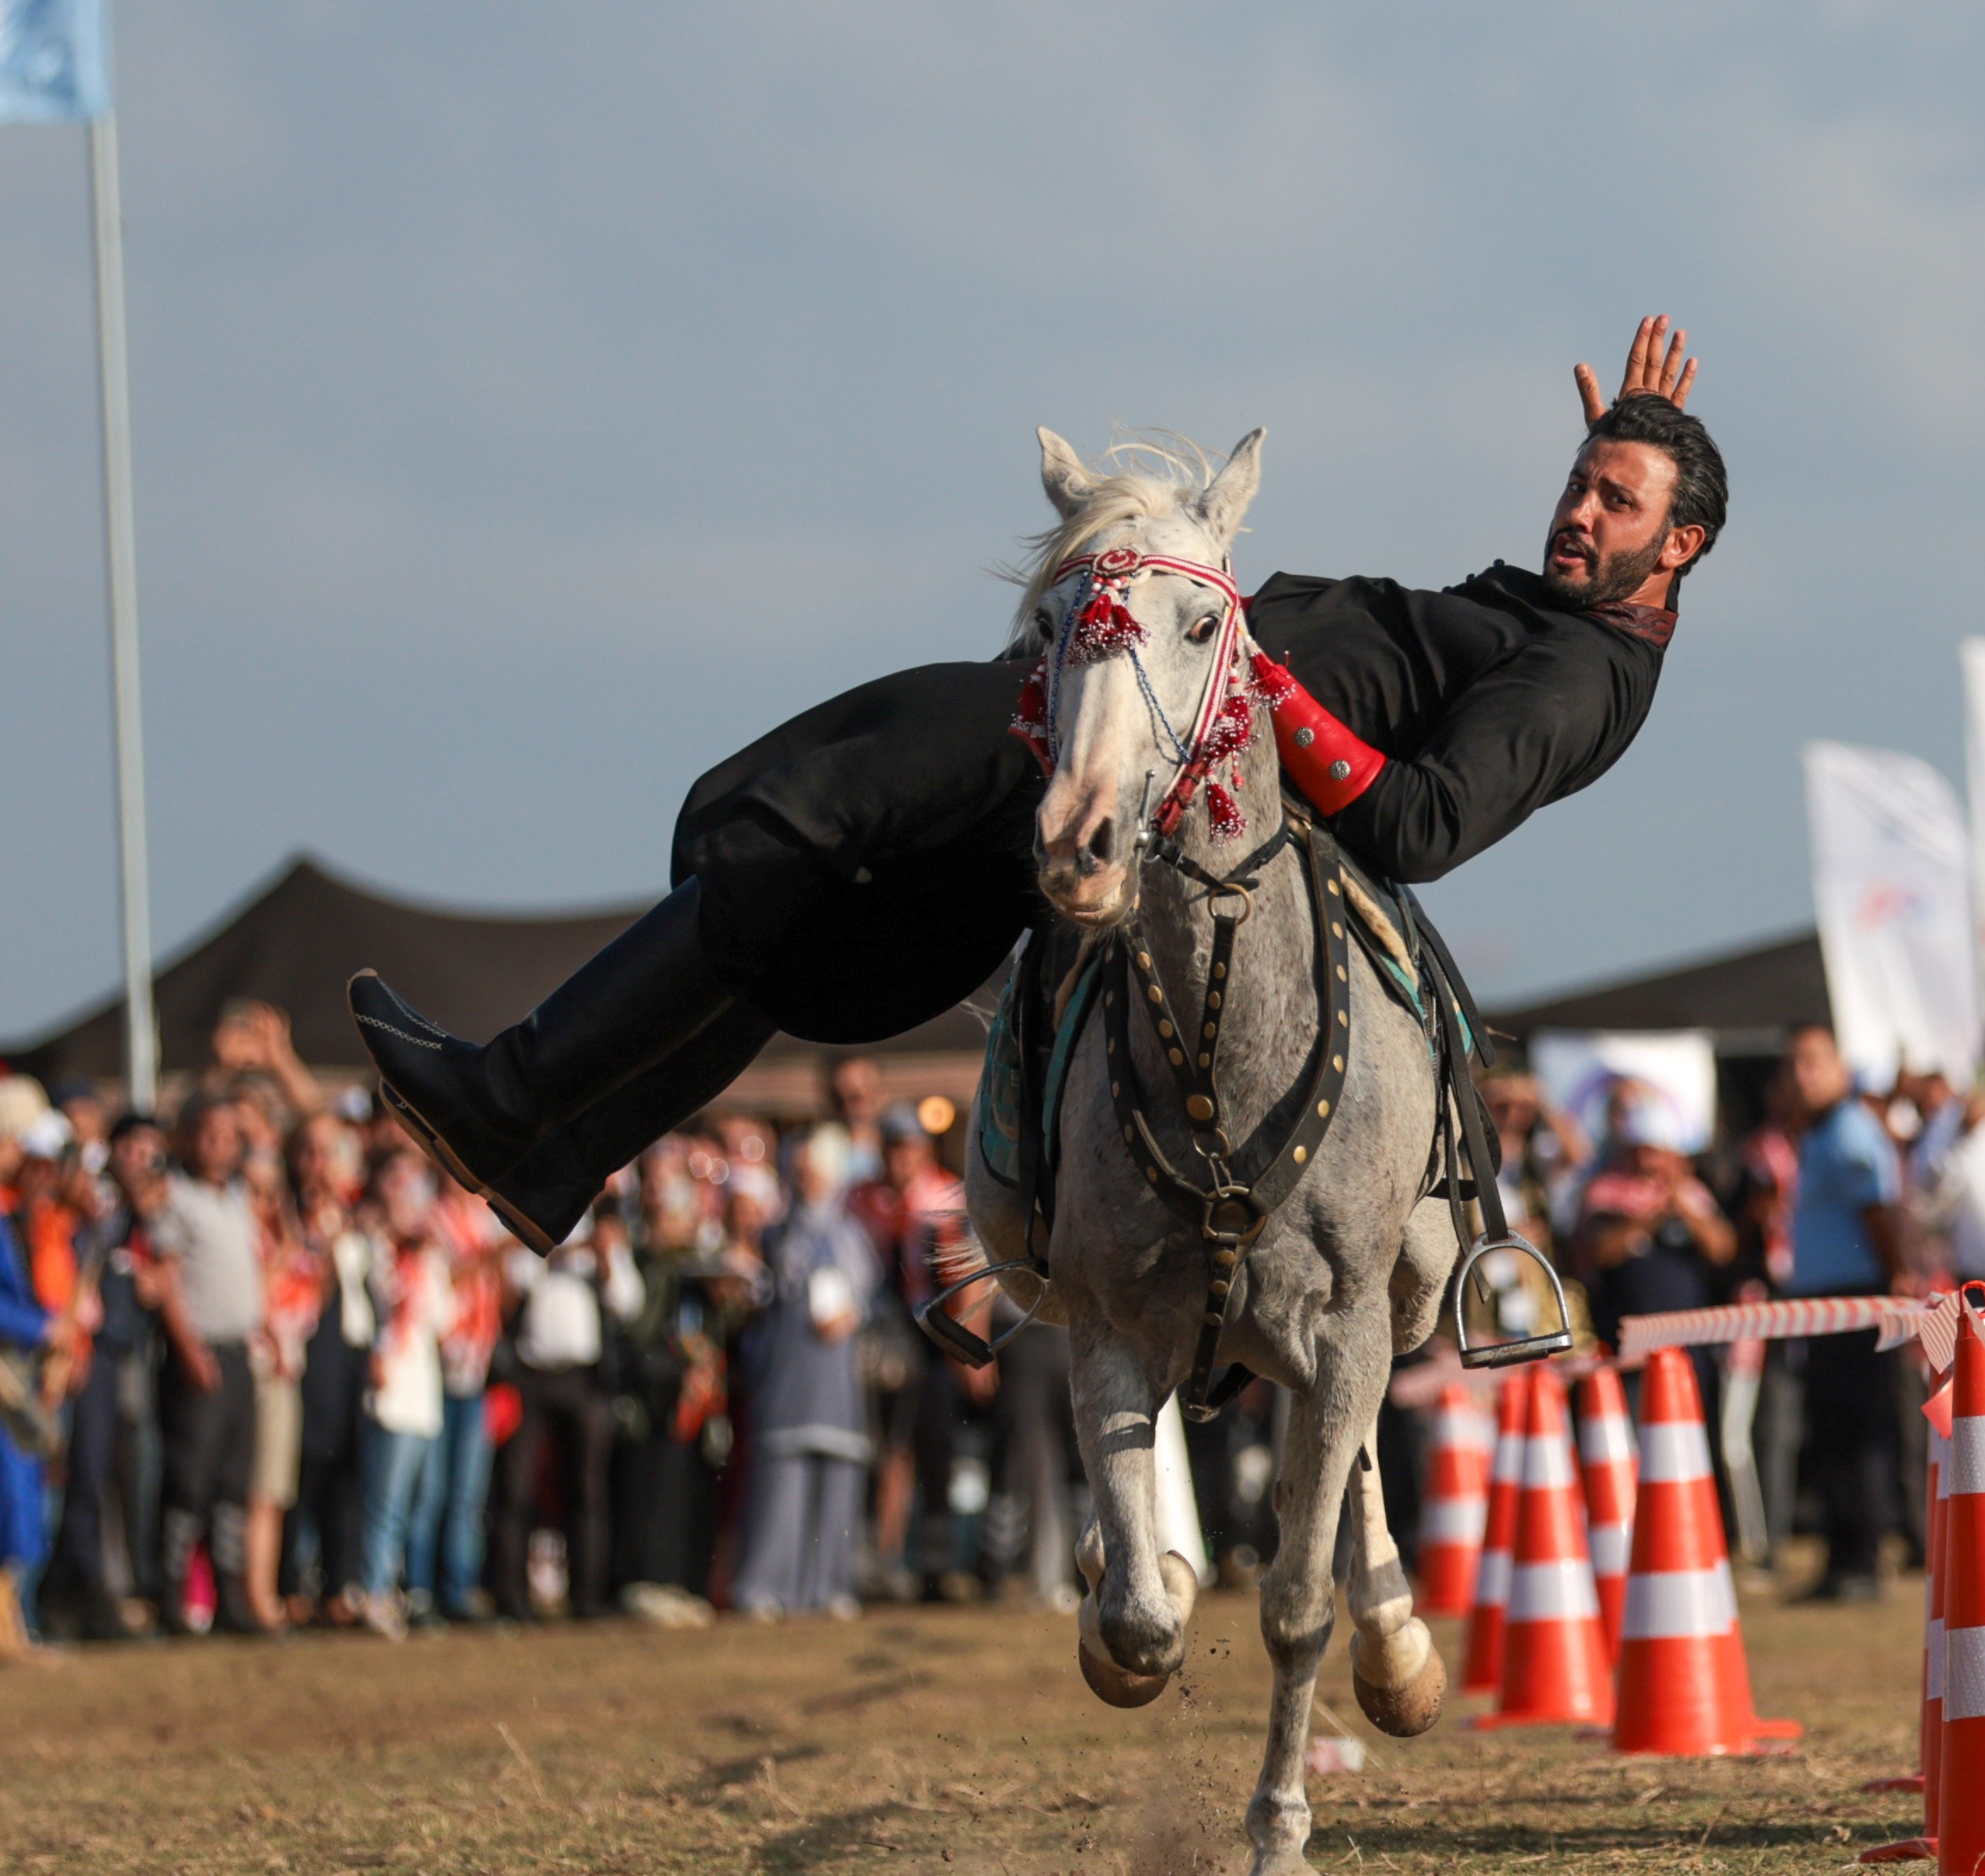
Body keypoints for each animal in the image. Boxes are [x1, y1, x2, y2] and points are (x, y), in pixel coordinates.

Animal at [961, 428, 1461, 1873]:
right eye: (1049, 632)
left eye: (1198, 626)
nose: (1076, 844)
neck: (1223, 1042)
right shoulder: (1105, 1328)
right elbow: (1139, 1611)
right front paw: (1123, 1602)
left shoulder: (1344, 1331)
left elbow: (1296, 1601)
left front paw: (1278, 1823)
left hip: (1393, 1298)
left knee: (1350, 1481)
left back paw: (1397, 1646)